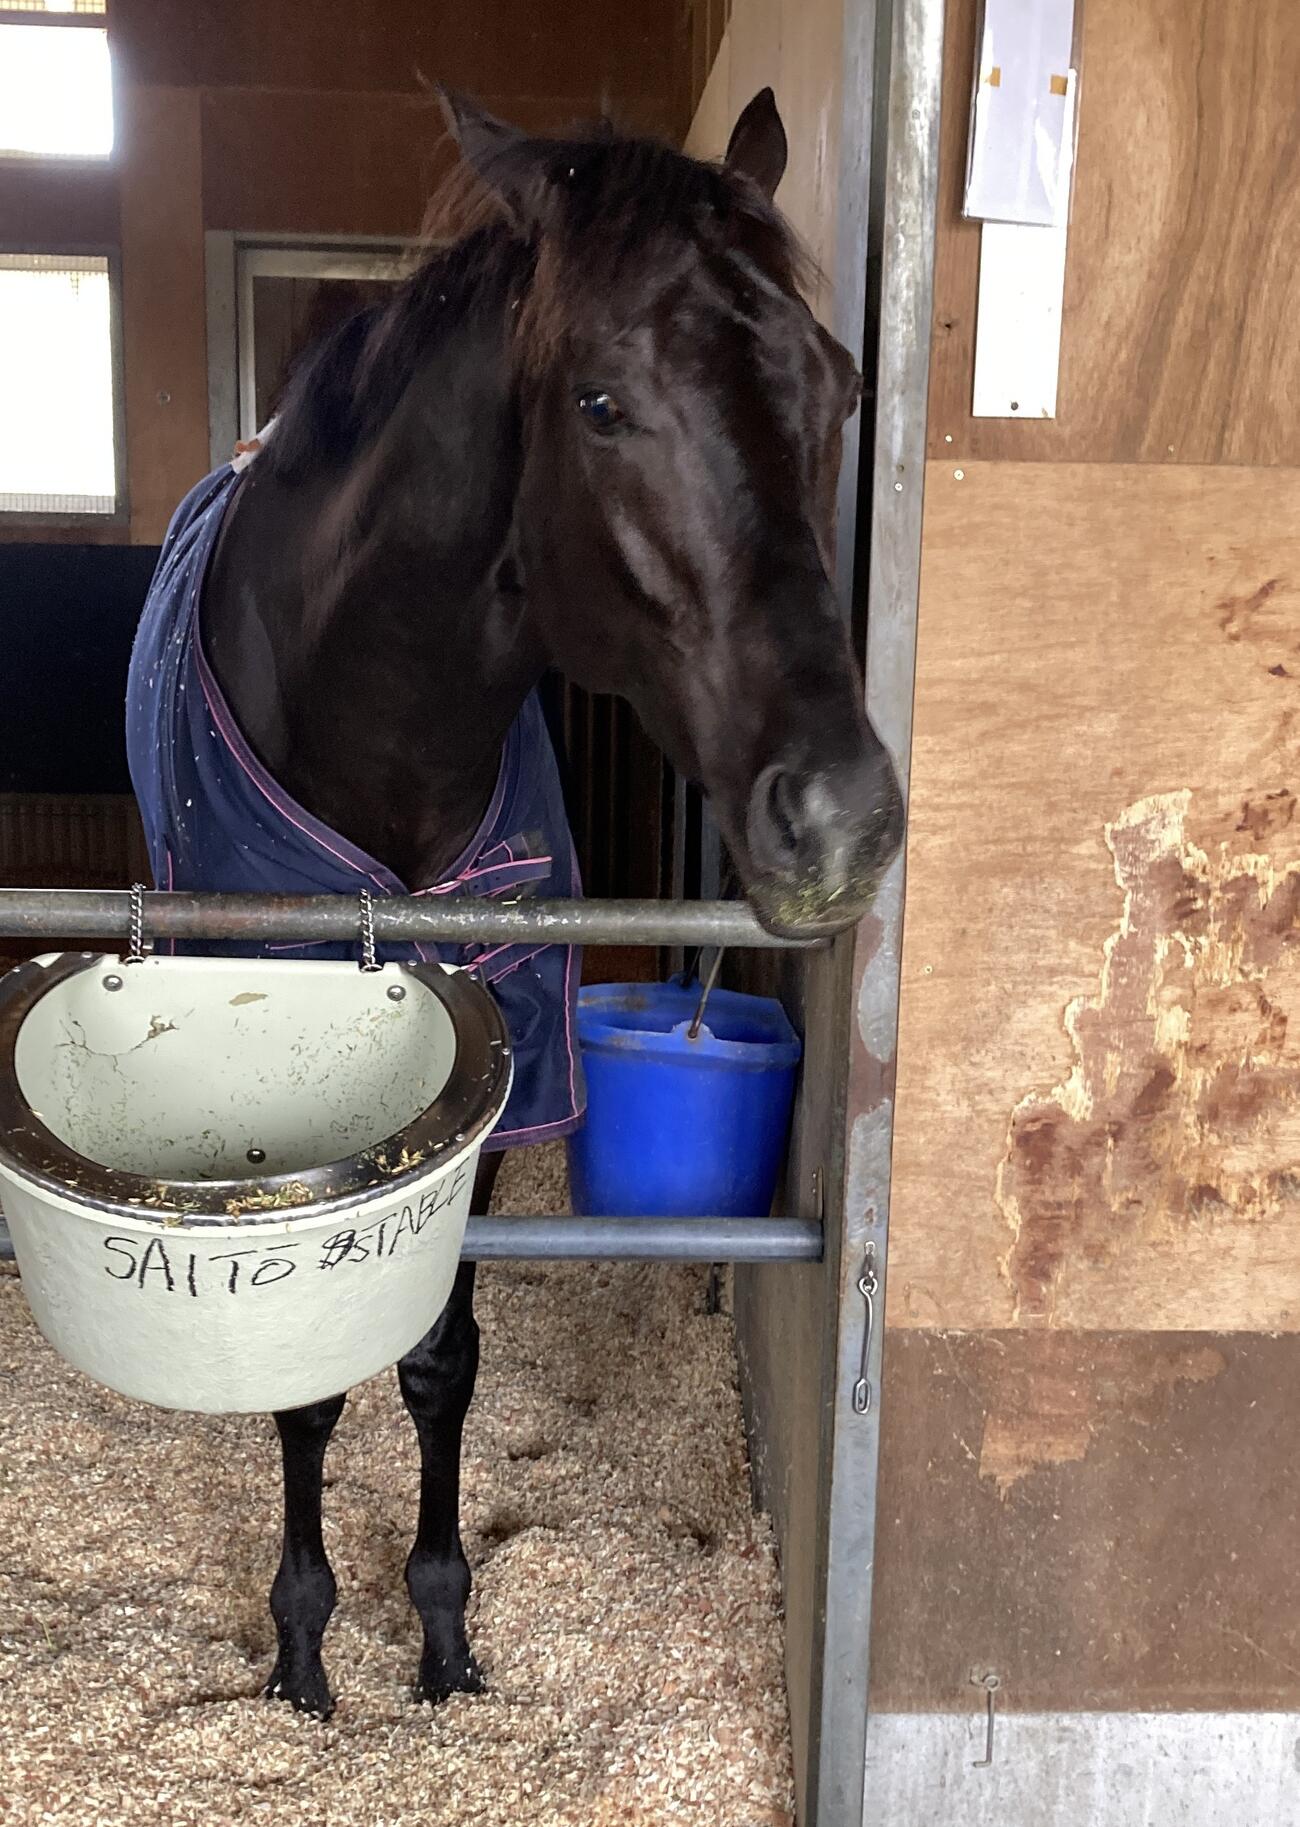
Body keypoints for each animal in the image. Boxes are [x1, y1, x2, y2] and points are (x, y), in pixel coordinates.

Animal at [124, 85, 905, 1719]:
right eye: (600, 404)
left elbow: (439, 1356)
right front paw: (303, 1644)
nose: (843, 818)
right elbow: (304, 1372)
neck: (378, 737)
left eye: (843, 384)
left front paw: (437, 1630)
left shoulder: (498, 1062)